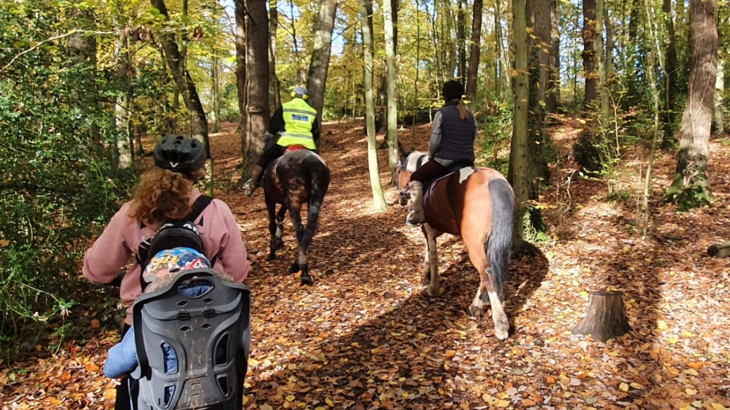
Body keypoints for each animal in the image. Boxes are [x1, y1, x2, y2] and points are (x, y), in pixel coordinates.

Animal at [261, 146, 330, 286]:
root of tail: (313, 163)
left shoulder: (269, 200)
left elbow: (272, 225)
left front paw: (272, 251)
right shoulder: (284, 202)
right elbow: (279, 216)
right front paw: (279, 240)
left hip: (293, 200)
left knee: (299, 230)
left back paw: (303, 271)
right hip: (314, 199)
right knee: (308, 230)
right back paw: (298, 266)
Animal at [396, 150, 514, 340]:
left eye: (398, 170)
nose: (400, 195)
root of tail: (493, 180)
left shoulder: (427, 228)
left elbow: (432, 254)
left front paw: (432, 286)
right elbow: (428, 252)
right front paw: (426, 276)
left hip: (473, 243)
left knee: (486, 272)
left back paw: (499, 323)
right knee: (490, 270)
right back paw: (476, 306)